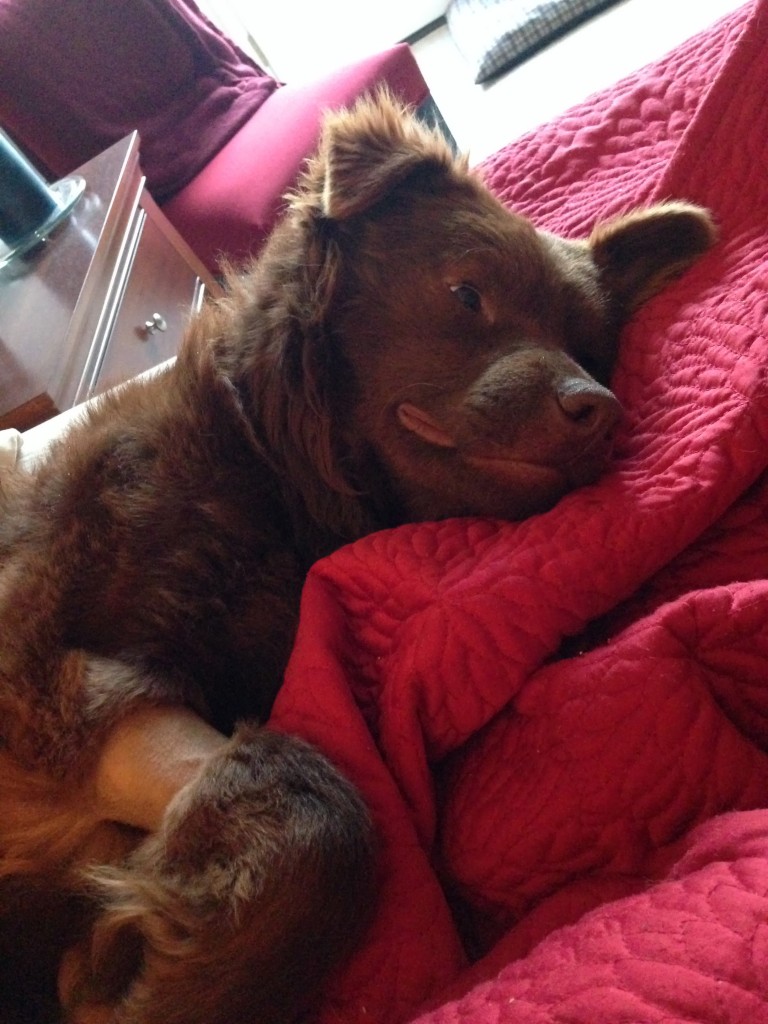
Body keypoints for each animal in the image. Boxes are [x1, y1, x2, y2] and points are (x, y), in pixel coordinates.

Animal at [0, 96, 716, 1024]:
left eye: (591, 347)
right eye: (466, 293)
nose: (595, 406)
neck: (267, 471)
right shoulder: (42, 670)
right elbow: (320, 801)